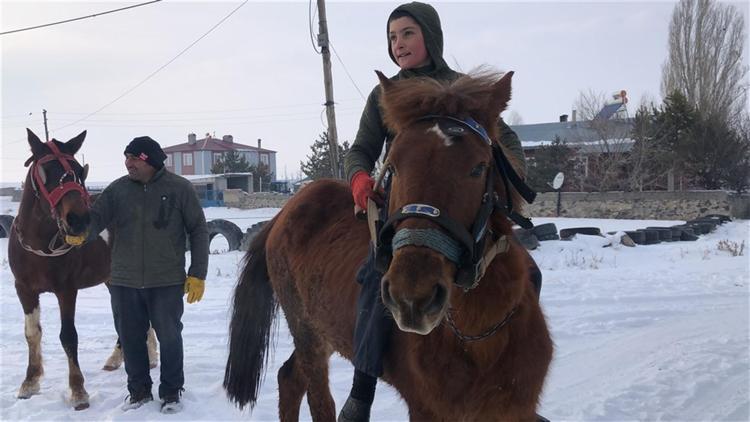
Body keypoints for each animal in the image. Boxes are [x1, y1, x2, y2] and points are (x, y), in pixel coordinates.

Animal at [223, 71, 552, 420]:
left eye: (478, 167)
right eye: (392, 166)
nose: (413, 297)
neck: (477, 337)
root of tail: (284, 213)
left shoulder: (514, 410)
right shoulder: (427, 410)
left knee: (289, 378)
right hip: (307, 331)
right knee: (317, 398)